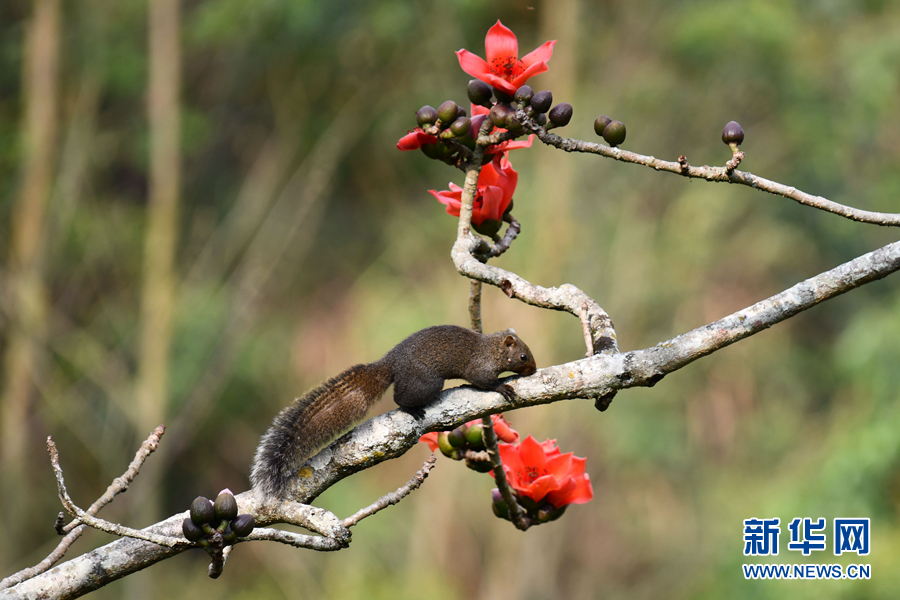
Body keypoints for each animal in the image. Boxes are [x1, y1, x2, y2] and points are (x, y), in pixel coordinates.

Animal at [250, 326, 536, 500]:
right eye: (523, 356)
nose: (533, 370)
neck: (492, 350)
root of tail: (390, 363)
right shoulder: (480, 367)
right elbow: (484, 381)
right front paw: (503, 387)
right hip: (427, 382)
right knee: (400, 398)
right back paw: (412, 408)